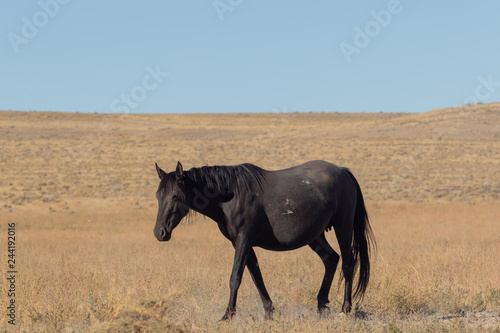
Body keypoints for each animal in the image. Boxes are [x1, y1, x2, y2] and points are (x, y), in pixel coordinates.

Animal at [154, 160, 374, 320]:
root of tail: (343, 171)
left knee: (347, 263)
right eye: (158, 196)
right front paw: (269, 312)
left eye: (175, 196)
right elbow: (256, 276)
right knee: (331, 259)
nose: (159, 233)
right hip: (315, 236)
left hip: (343, 227)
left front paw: (228, 315)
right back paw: (321, 305)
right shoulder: (241, 243)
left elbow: (236, 277)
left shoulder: (243, 240)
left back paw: (345, 309)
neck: (230, 196)